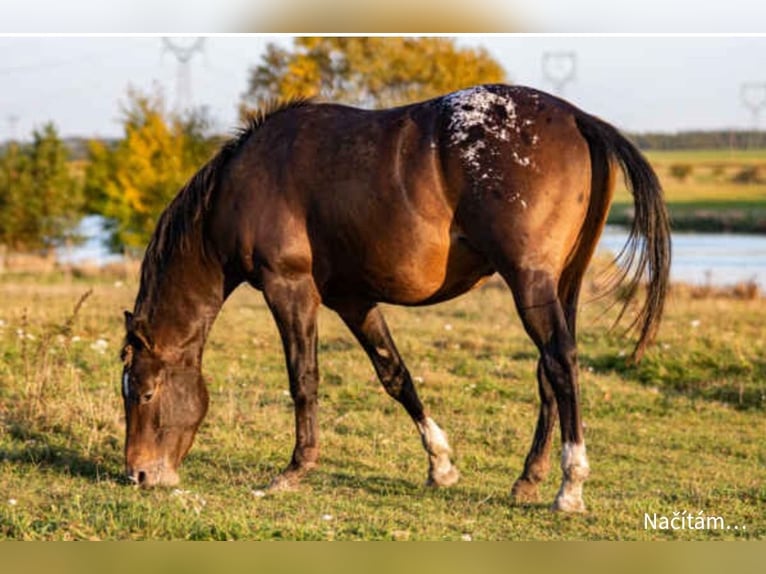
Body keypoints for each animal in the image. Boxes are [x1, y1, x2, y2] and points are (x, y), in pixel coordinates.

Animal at [120, 84, 672, 512]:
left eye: (143, 394)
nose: (139, 475)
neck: (244, 182)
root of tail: (578, 118)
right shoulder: (351, 299)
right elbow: (395, 375)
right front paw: (440, 465)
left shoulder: (289, 288)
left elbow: (303, 379)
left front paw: (294, 470)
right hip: (561, 285)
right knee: (549, 372)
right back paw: (528, 479)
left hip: (529, 282)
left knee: (559, 361)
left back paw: (569, 486)